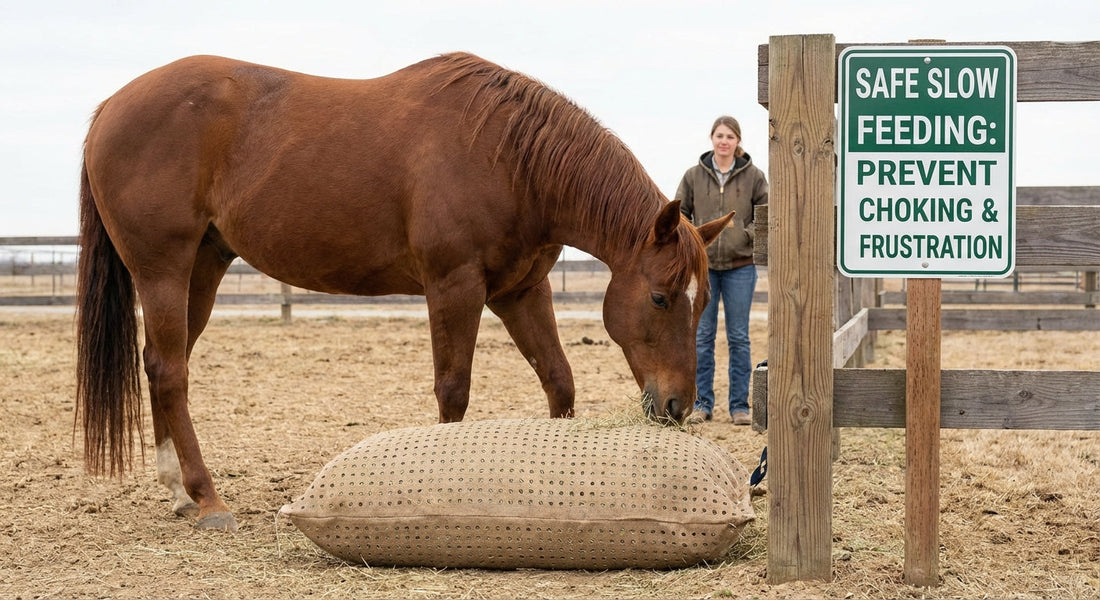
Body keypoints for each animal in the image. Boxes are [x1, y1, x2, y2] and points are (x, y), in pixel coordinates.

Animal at [76, 53, 733, 532]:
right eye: (660, 298)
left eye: (703, 301)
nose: (679, 406)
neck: (509, 158)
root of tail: (110, 108)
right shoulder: (454, 286)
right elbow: (454, 392)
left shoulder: (521, 291)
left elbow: (559, 380)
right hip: (163, 268)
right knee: (170, 371)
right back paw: (208, 501)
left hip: (205, 267)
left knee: (162, 364)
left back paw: (180, 493)